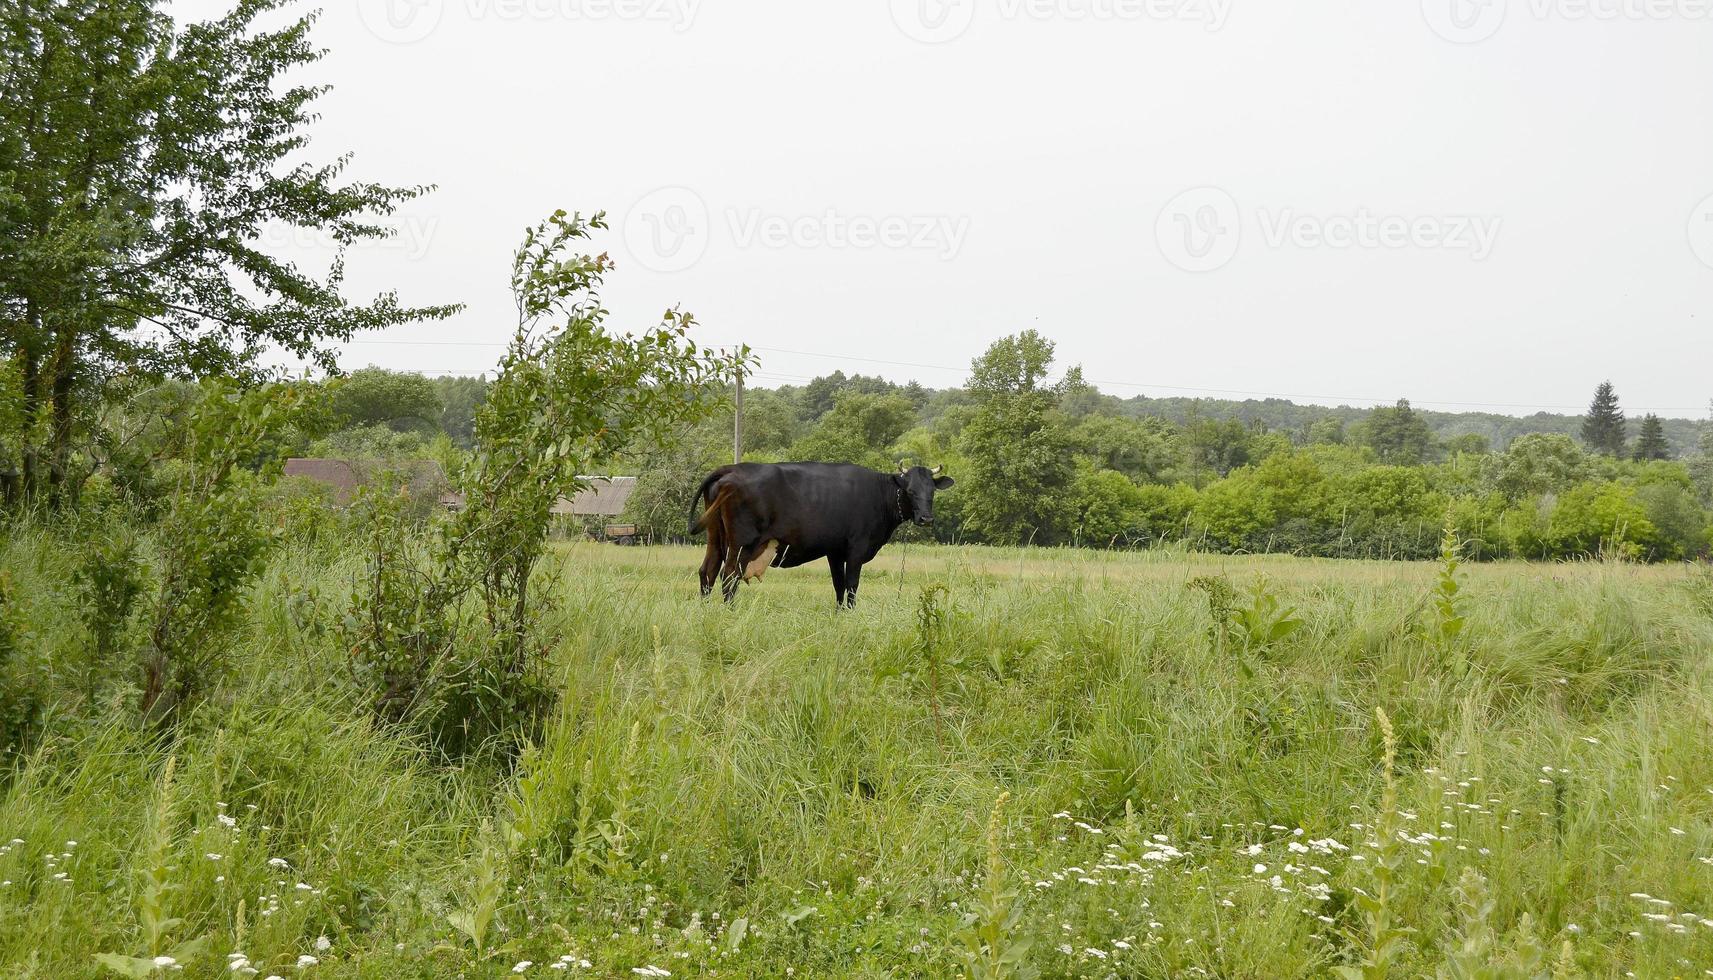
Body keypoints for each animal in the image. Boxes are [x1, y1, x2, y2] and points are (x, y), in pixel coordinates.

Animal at [685, 459, 959, 606]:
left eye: (931, 491)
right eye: (910, 491)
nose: (926, 518)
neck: (878, 494)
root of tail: (731, 469)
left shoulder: (835, 551)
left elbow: (838, 585)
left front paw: (840, 615)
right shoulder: (856, 549)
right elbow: (851, 585)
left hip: (716, 538)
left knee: (708, 571)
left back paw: (707, 610)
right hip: (743, 543)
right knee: (729, 575)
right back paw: (729, 611)